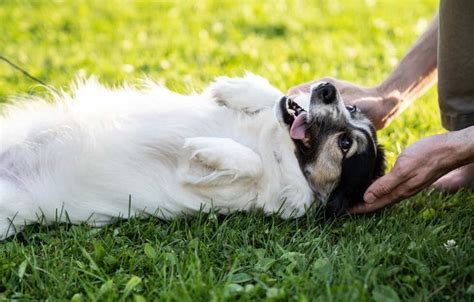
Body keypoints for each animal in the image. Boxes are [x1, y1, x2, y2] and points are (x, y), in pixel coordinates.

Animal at [0, 74, 386, 239]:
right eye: (352, 107)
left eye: (346, 144)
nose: (328, 88)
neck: (282, 150)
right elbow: (274, 96)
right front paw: (235, 87)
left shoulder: (203, 183)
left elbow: (250, 163)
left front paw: (205, 146)